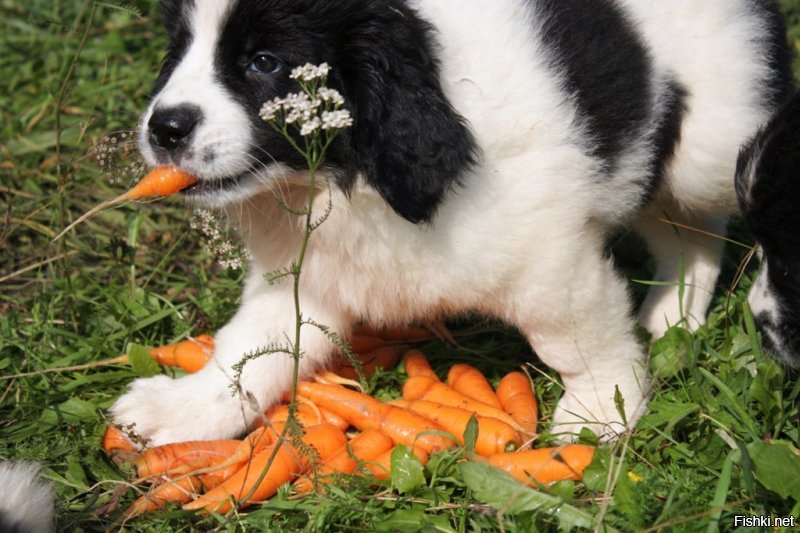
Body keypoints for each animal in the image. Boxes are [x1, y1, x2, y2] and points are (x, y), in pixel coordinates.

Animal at [109, 0, 792, 442]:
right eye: (180, 52)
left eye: (263, 62)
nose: (165, 128)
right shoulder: (308, 279)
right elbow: (251, 350)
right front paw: (185, 411)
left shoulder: (548, 261)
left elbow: (576, 337)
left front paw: (602, 410)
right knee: (683, 230)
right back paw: (675, 314)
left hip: (709, 144)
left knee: (709, 209)